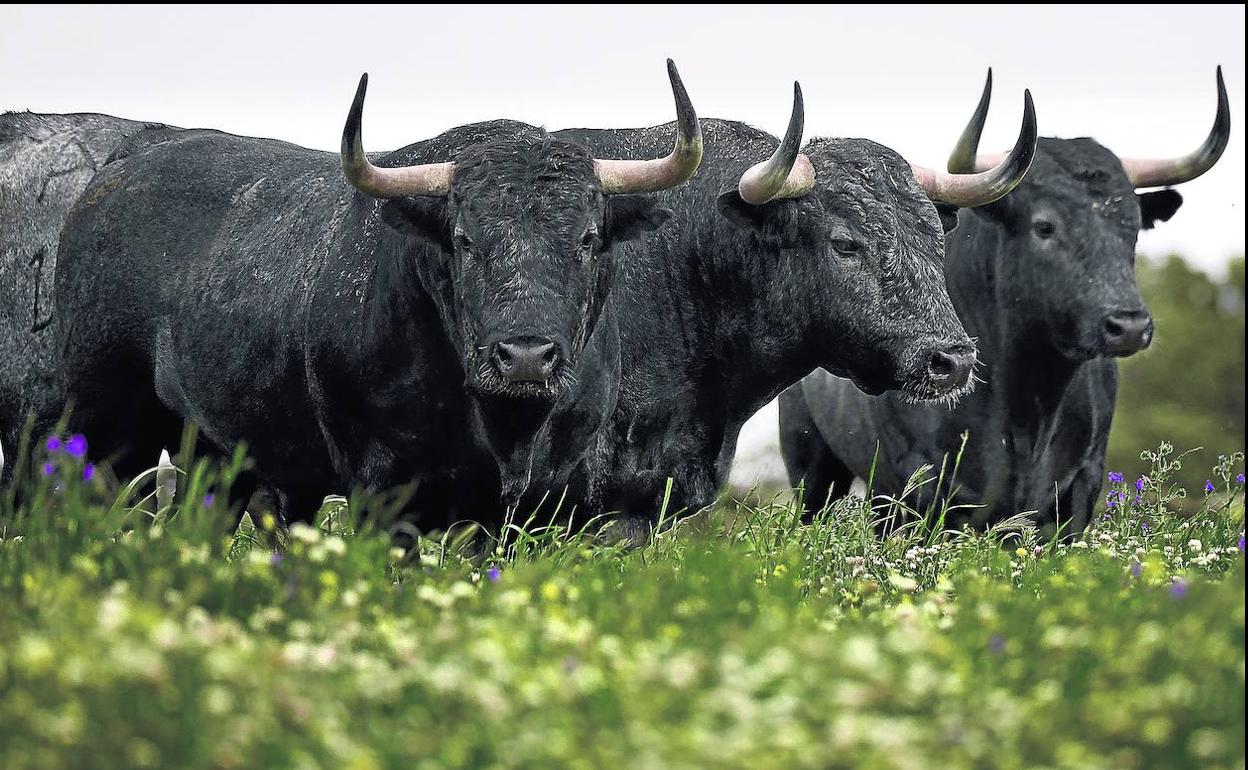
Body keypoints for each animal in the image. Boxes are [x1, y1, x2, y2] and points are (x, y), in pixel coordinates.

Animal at [778, 67, 1228, 529]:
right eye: (1044, 226)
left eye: (1134, 225)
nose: (1130, 327)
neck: (1027, 407)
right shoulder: (920, 487)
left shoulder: (1080, 489)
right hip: (813, 466)